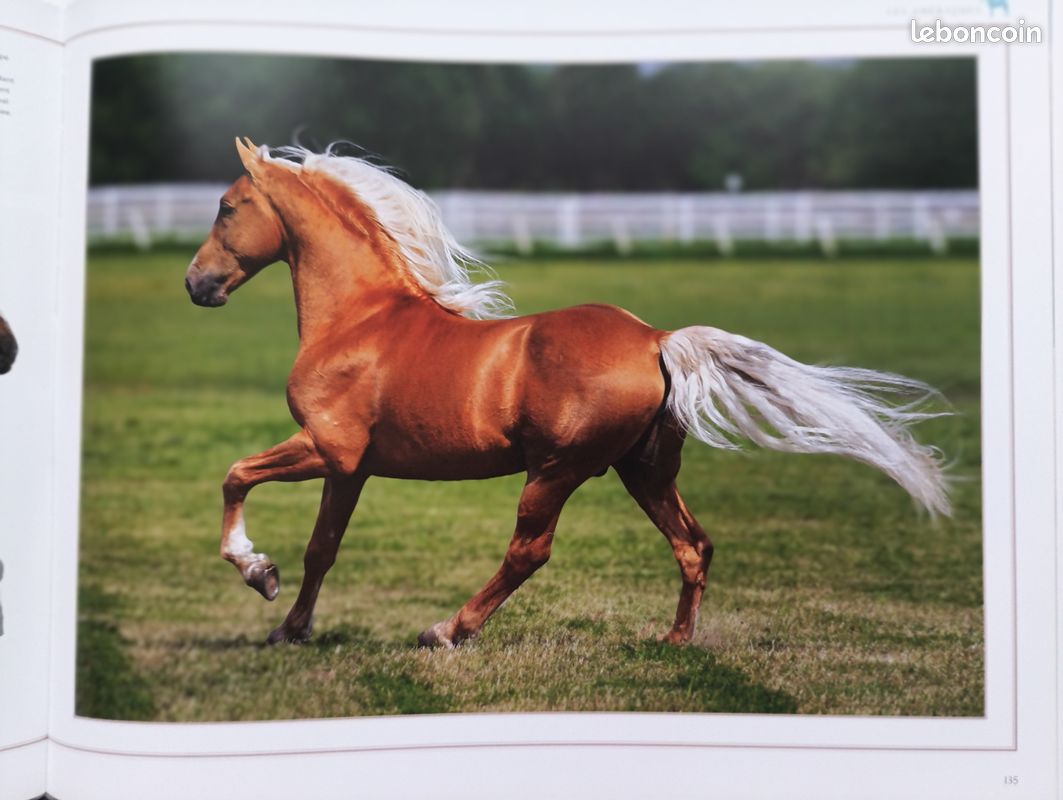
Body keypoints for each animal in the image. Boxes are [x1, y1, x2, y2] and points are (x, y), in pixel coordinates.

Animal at [184, 139, 950, 648]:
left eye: (226, 207)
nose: (196, 285)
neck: (361, 319)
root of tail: (654, 338)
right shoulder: (352, 467)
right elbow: (323, 548)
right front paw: (289, 626)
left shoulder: (326, 448)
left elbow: (235, 477)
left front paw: (257, 571)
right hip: (644, 470)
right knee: (693, 545)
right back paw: (674, 643)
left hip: (556, 470)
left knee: (530, 551)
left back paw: (446, 630)